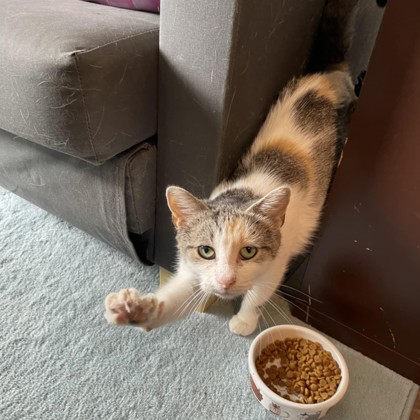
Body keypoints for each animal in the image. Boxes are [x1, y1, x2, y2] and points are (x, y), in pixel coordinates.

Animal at [104, 0, 358, 336]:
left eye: (248, 252)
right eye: (206, 251)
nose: (226, 281)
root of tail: (324, 77)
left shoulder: (276, 261)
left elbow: (259, 291)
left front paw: (245, 320)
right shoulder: (194, 271)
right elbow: (176, 297)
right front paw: (138, 309)